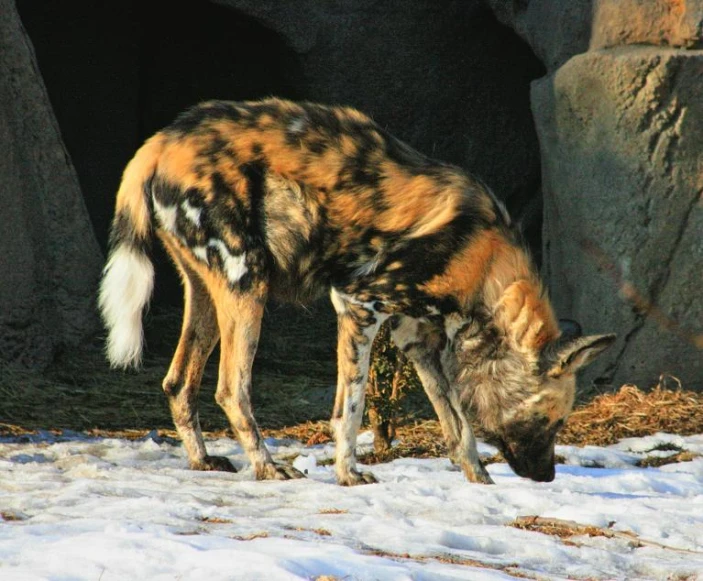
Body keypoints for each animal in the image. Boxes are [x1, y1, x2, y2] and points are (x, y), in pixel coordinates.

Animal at [100, 99, 616, 484]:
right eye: (553, 421)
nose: (547, 476)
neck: (486, 260)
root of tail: (163, 139)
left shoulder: (418, 338)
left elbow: (457, 424)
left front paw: (479, 480)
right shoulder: (358, 302)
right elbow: (351, 407)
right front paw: (349, 474)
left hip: (208, 292)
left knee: (178, 381)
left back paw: (203, 460)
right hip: (248, 283)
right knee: (232, 389)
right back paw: (268, 467)